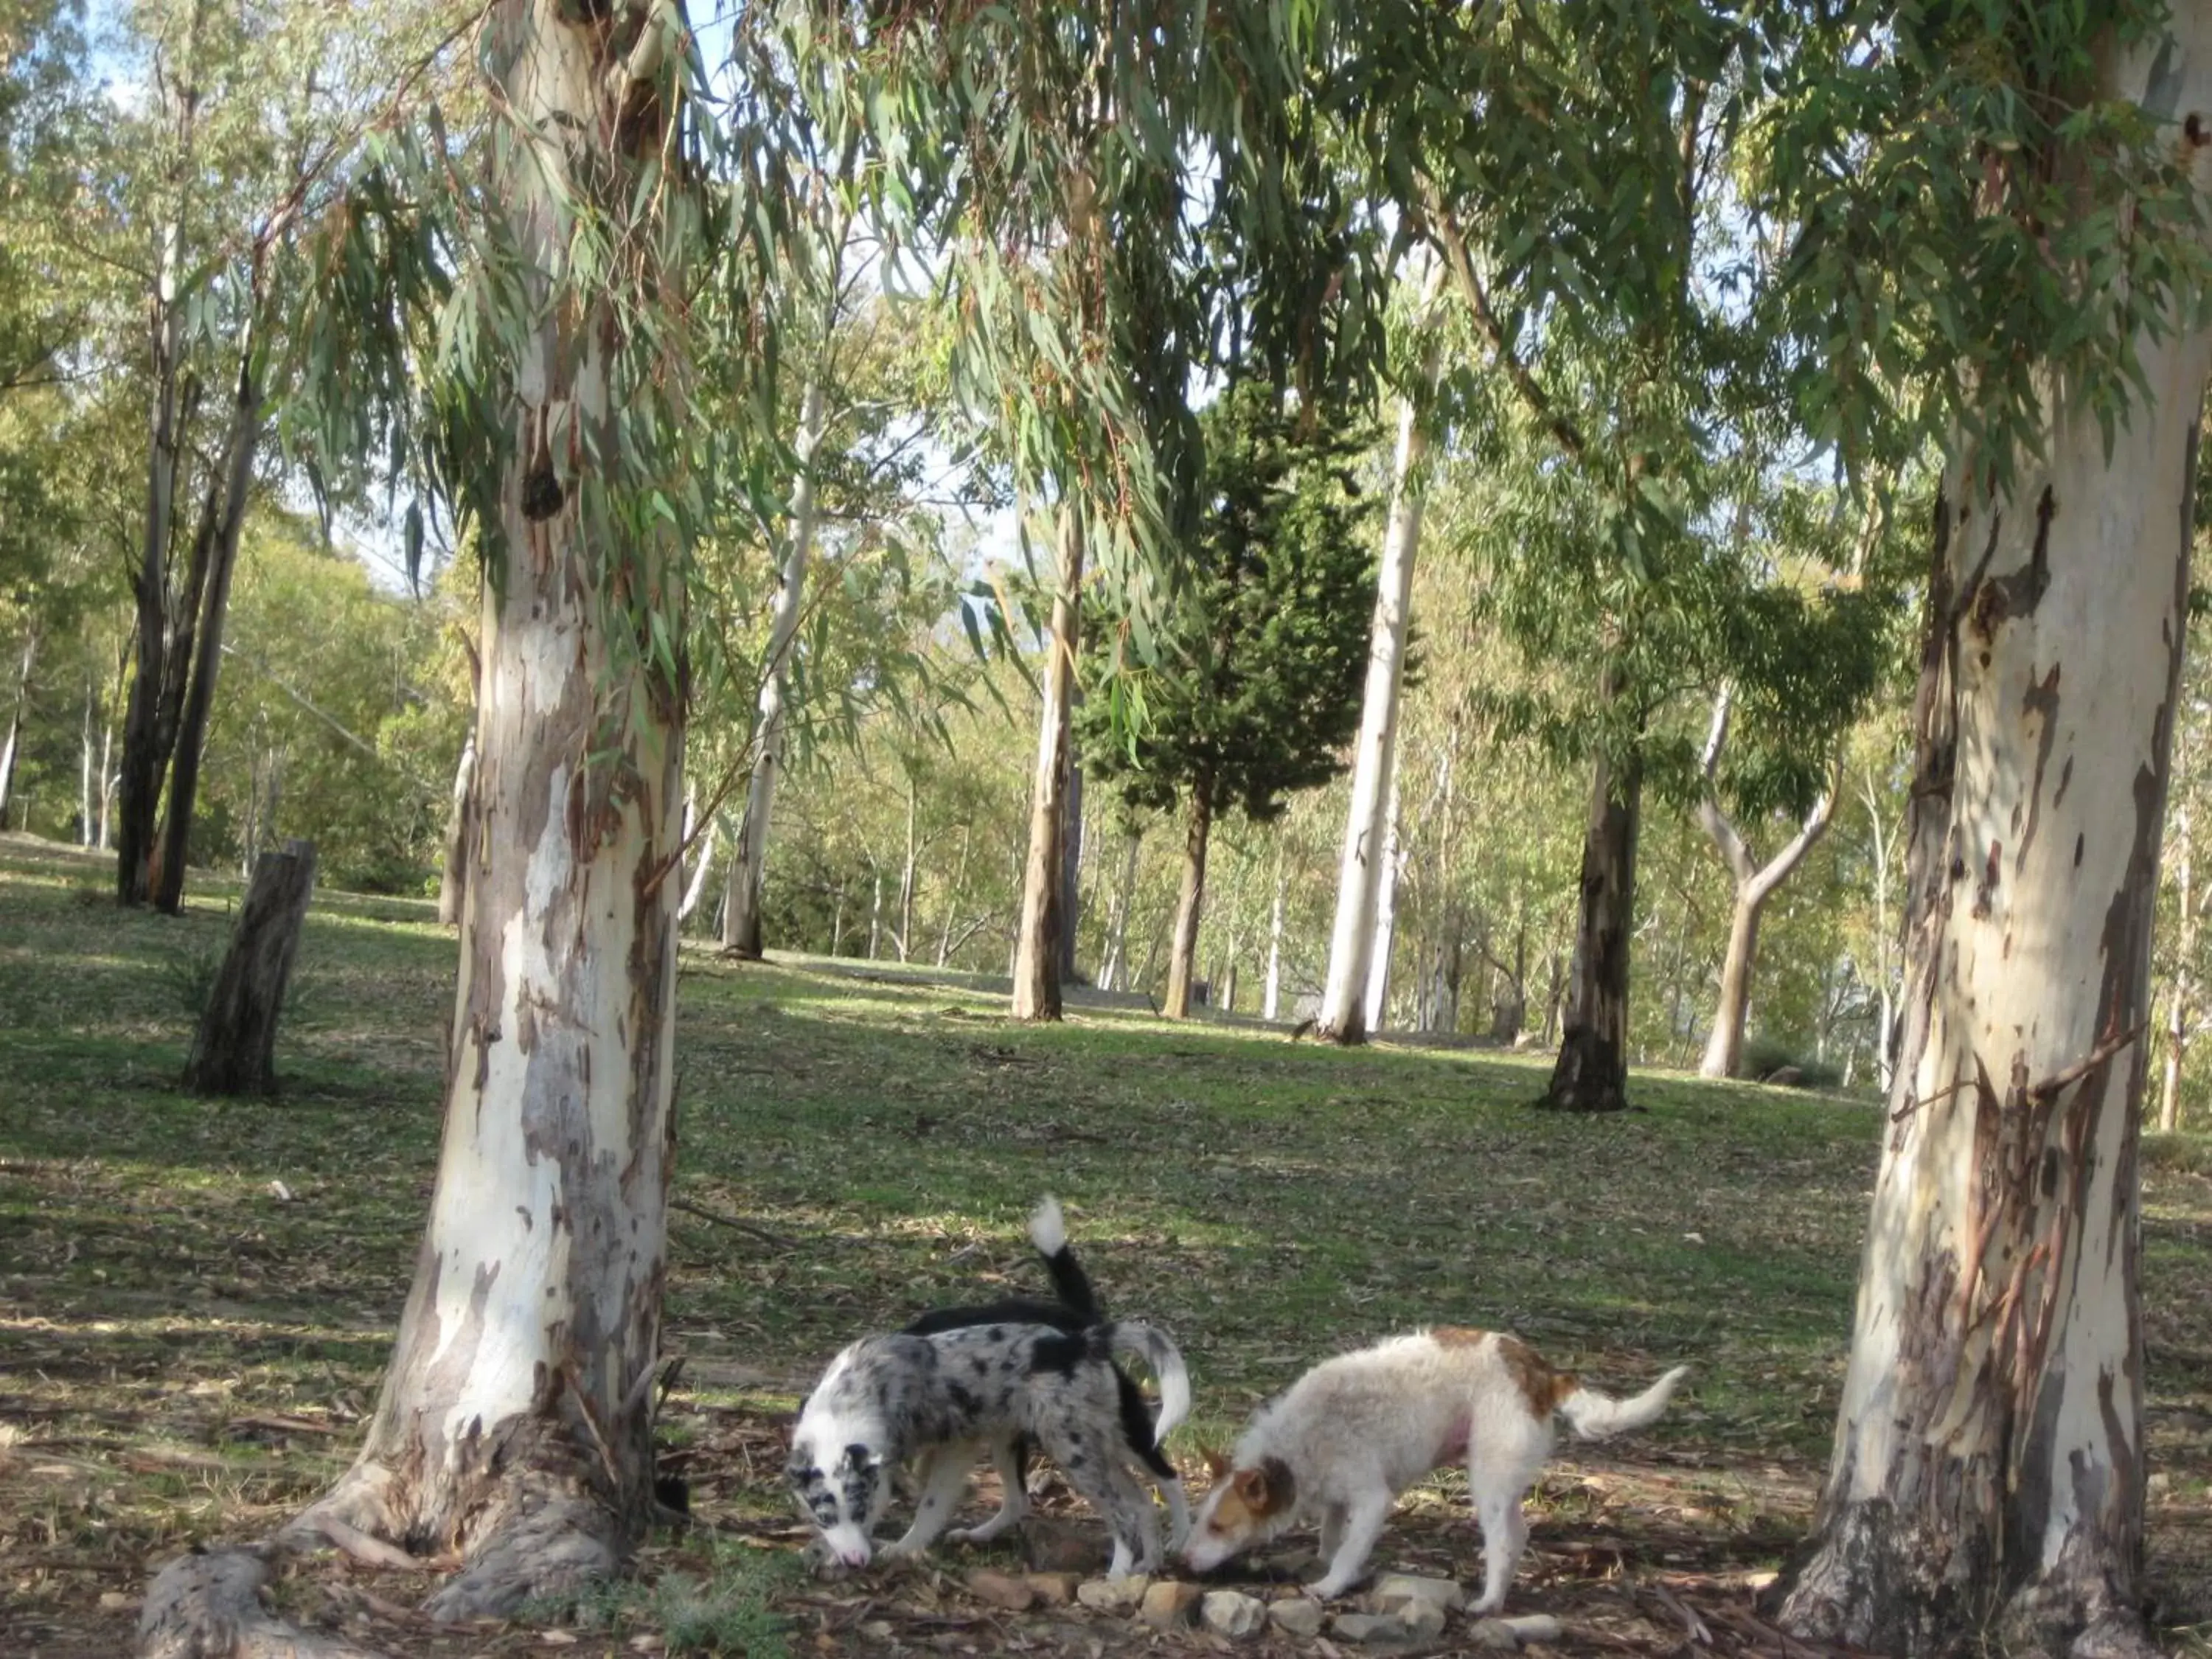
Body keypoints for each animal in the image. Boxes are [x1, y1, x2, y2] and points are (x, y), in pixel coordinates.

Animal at [1186, 1336, 1681, 1619]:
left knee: (1503, 1541)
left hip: (1487, 1478)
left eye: (1219, 1526)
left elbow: (1348, 1552)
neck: (1295, 1447)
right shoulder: (1337, 1498)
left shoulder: (1372, 1500)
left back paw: (1488, 1602)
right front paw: (1322, 1563)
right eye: (1201, 1520)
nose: (1181, 1560)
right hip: (1502, 1480)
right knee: (1518, 1536)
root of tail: (1540, 1369)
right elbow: (1331, 1539)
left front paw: (1329, 1586)